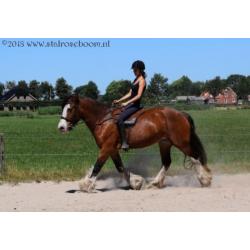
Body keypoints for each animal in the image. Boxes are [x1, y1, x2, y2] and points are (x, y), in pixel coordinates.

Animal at [57, 95, 212, 191]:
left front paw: (86, 184)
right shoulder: (112, 149)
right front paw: (135, 182)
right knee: (167, 162)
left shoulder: (106, 148)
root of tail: (181, 113)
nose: (61, 127)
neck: (103, 120)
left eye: (70, 108)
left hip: (181, 143)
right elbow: (120, 167)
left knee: (195, 158)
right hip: (165, 143)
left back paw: (205, 180)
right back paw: (155, 183)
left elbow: (97, 166)